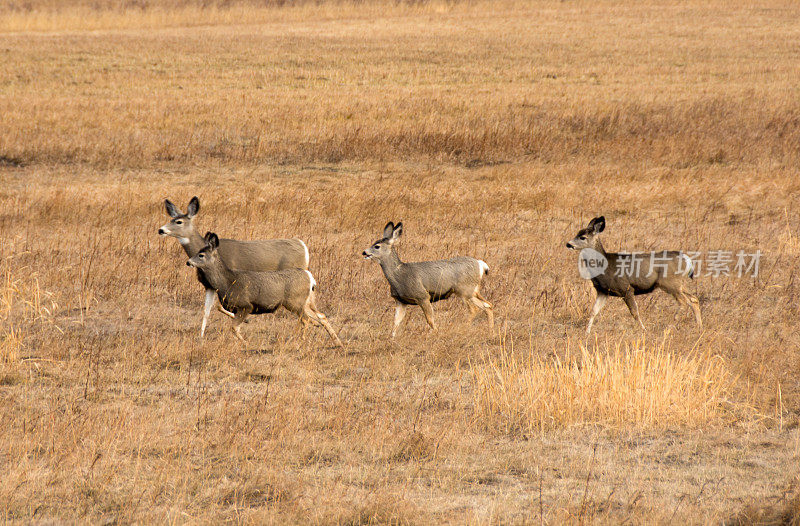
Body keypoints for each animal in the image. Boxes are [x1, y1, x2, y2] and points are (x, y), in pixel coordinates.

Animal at [158, 197, 308, 338]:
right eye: (171, 219)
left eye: (179, 222)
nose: (161, 230)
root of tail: (303, 246)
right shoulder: (209, 285)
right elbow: (206, 311)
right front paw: (201, 336)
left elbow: (219, 306)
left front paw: (245, 320)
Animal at [188, 233, 344, 348]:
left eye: (201, 255)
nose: (188, 262)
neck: (227, 282)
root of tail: (310, 278)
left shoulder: (246, 305)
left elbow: (234, 328)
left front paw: (246, 343)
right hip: (305, 302)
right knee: (320, 316)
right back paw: (337, 342)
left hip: (294, 302)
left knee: (305, 320)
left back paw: (298, 341)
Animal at [362, 222, 494, 338]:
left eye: (377, 246)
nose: (364, 252)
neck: (399, 276)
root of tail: (480, 264)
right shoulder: (400, 301)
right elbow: (396, 322)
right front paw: (392, 338)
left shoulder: (423, 296)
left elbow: (430, 320)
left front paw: (435, 333)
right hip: (472, 291)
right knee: (488, 305)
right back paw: (490, 331)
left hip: (463, 290)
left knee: (474, 309)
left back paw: (464, 328)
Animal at [564, 218, 704, 334]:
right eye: (577, 233)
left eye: (582, 237)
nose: (568, 244)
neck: (604, 266)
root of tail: (687, 259)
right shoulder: (603, 291)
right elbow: (593, 311)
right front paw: (586, 332)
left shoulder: (626, 288)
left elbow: (634, 312)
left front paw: (644, 329)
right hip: (679, 284)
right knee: (693, 299)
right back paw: (699, 326)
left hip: (670, 283)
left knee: (684, 302)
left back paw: (669, 326)